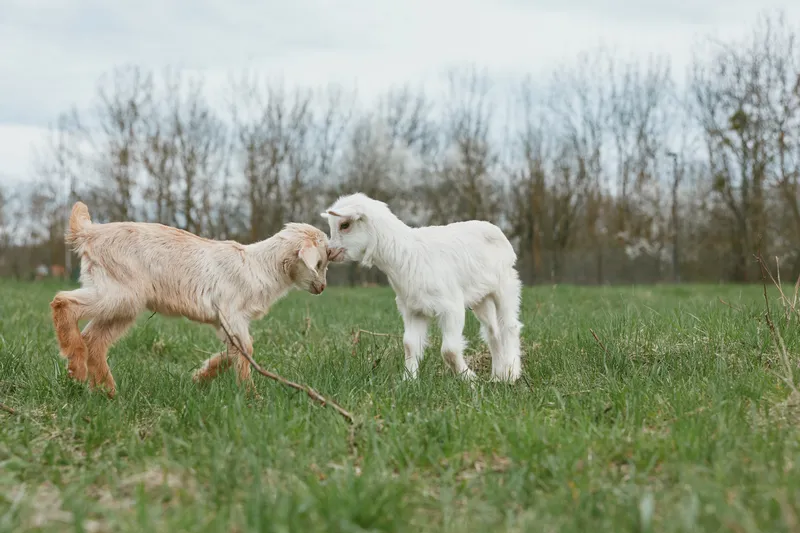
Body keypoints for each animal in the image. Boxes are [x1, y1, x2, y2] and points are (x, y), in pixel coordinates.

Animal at [50, 201, 334, 397]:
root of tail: (89, 233)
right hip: (120, 294)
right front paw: (252, 396)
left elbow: (233, 352)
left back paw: (106, 390)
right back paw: (77, 366)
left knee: (95, 340)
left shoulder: (226, 322)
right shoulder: (232, 314)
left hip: (121, 303)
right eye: (320, 263)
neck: (259, 266)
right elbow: (246, 351)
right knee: (63, 301)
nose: (322, 287)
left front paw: (200, 377)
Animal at [321, 193, 522, 382]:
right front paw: (409, 380)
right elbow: (409, 345)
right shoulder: (413, 310)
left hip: (505, 286)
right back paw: (497, 376)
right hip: (481, 298)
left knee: (509, 326)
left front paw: (470, 379)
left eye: (345, 225)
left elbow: (449, 350)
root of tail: (495, 230)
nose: (329, 252)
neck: (405, 254)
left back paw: (511, 374)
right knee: (493, 332)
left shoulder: (451, 307)